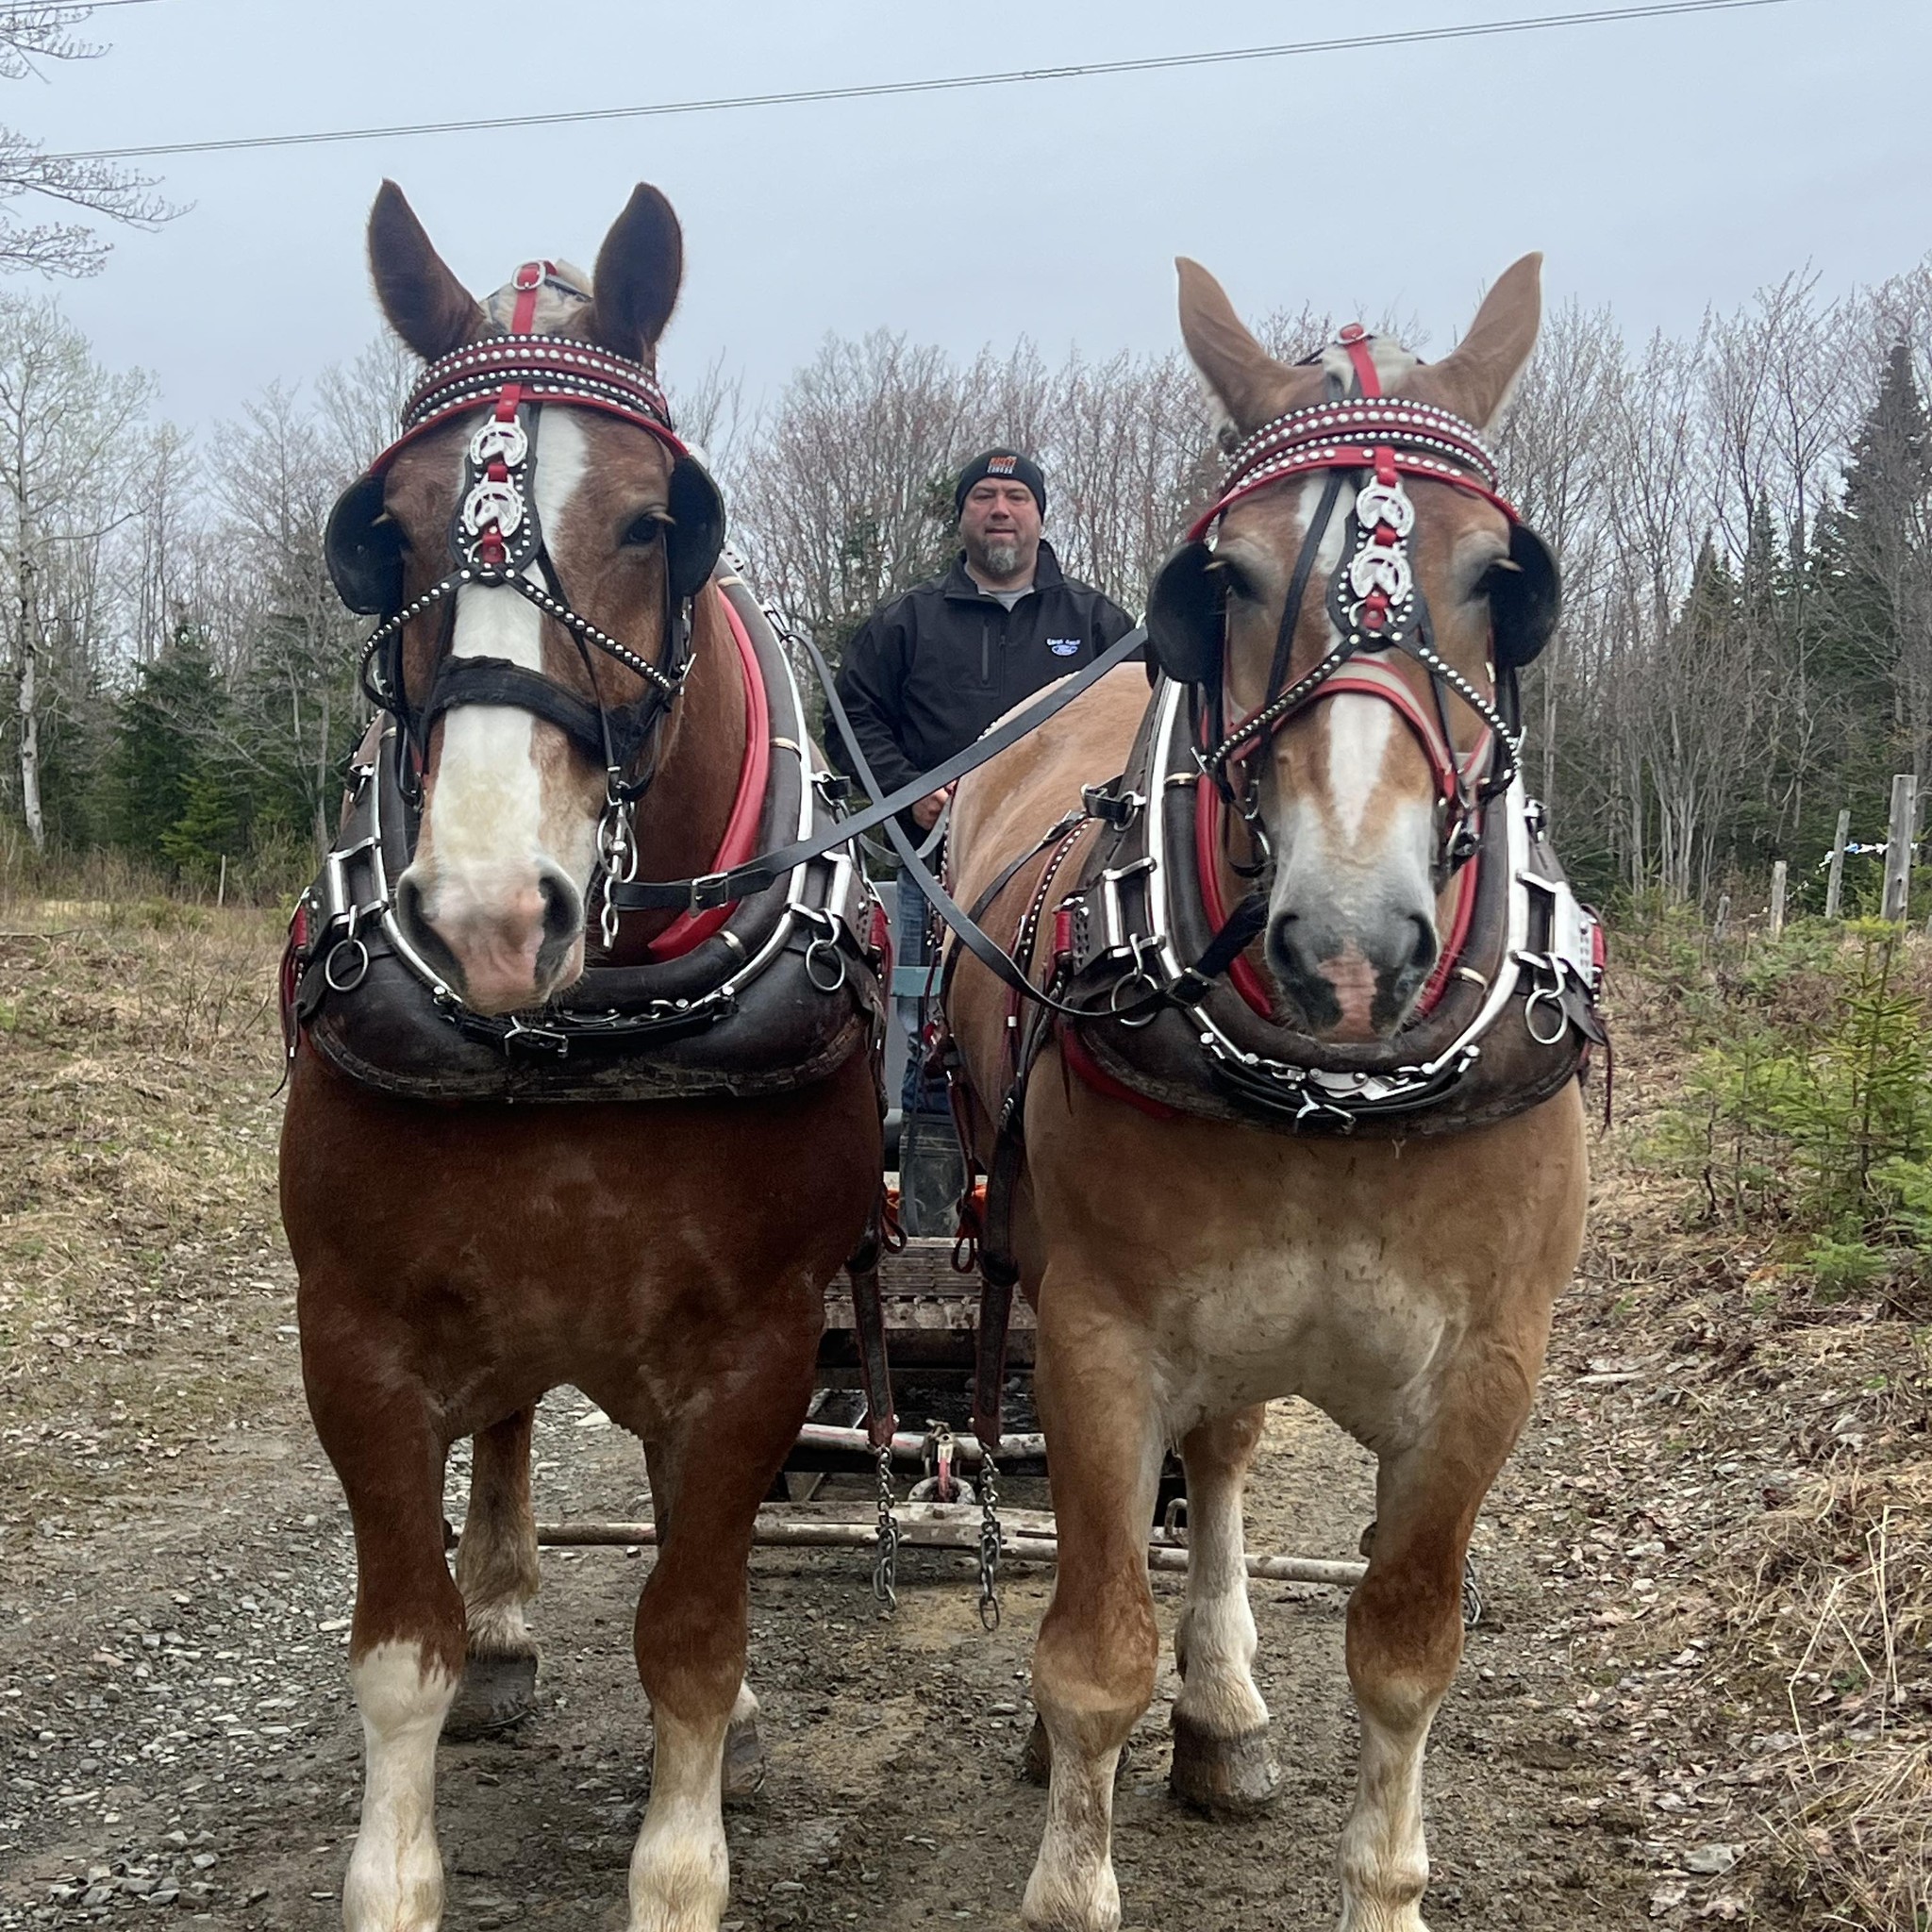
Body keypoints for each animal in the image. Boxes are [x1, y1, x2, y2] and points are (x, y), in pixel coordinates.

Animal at [279, 182, 880, 1932]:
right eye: (390, 534)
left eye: (651, 521)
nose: (490, 910)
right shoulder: (354, 1331)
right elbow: (398, 1652)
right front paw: (399, 1859)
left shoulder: (755, 1347)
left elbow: (690, 1633)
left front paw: (683, 1859)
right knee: (507, 1426)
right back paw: (508, 1620)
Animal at [943, 255, 1590, 1930]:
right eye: (1222, 581)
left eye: (1498, 579)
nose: (1349, 950)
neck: (1336, 1097)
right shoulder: (1097, 1337)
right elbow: (1094, 1652)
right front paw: (1071, 1855)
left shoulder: (1487, 1374)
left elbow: (1406, 1658)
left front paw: (1381, 1882)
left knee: (1226, 1459)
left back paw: (1224, 1712)